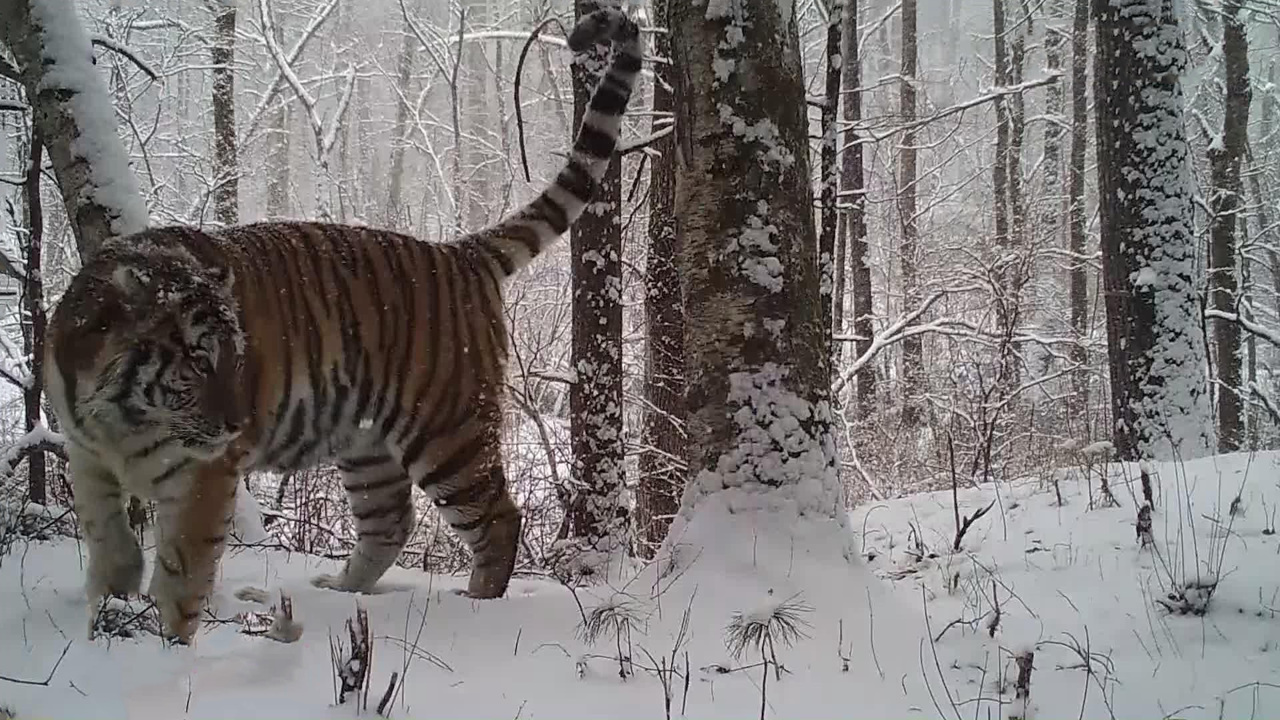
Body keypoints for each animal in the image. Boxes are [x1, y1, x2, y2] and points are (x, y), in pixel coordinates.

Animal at [44, 6, 642, 645]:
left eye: (235, 356)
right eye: (199, 359)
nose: (237, 425)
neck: (119, 415)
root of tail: (458, 253)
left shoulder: (202, 475)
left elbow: (181, 569)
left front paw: (169, 644)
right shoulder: (87, 458)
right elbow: (108, 544)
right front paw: (107, 611)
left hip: (447, 433)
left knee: (498, 520)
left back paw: (477, 605)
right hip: (366, 442)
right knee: (391, 521)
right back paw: (342, 592)